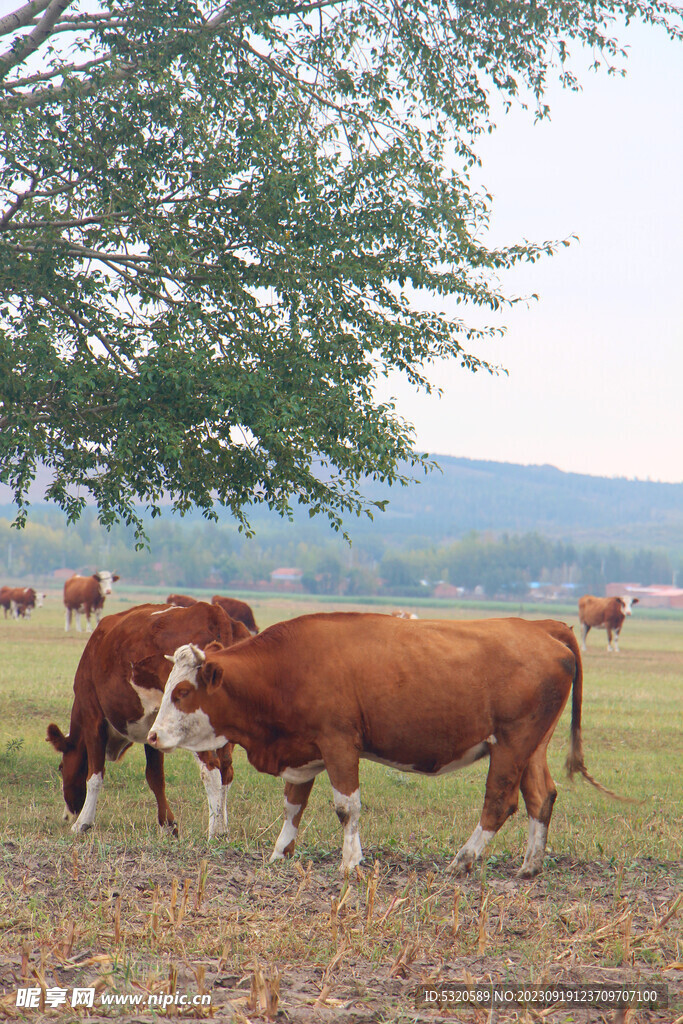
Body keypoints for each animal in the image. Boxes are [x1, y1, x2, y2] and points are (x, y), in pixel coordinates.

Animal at [47, 602, 250, 835]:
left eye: (61, 767)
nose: (67, 815)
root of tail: (214, 612)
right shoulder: (153, 728)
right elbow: (155, 777)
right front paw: (167, 825)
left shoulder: (92, 716)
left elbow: (95, 775)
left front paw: (83, 822)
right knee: (226, 771)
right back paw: (223, 828)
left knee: (212, 770)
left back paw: (214, 832)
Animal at [147, 610, 618, 876]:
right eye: (168, 686)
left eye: (183, 692)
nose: (153, 735)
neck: (286, 668)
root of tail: (543, 627)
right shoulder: (304, 751)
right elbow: (293, 805)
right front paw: (280, 854)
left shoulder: (339, 743)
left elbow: (346, 807)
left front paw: (350, 862)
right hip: (532, 746)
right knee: (542, 796)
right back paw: (530, 866)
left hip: (511, 744)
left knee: (500, 802)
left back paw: (463, 860)